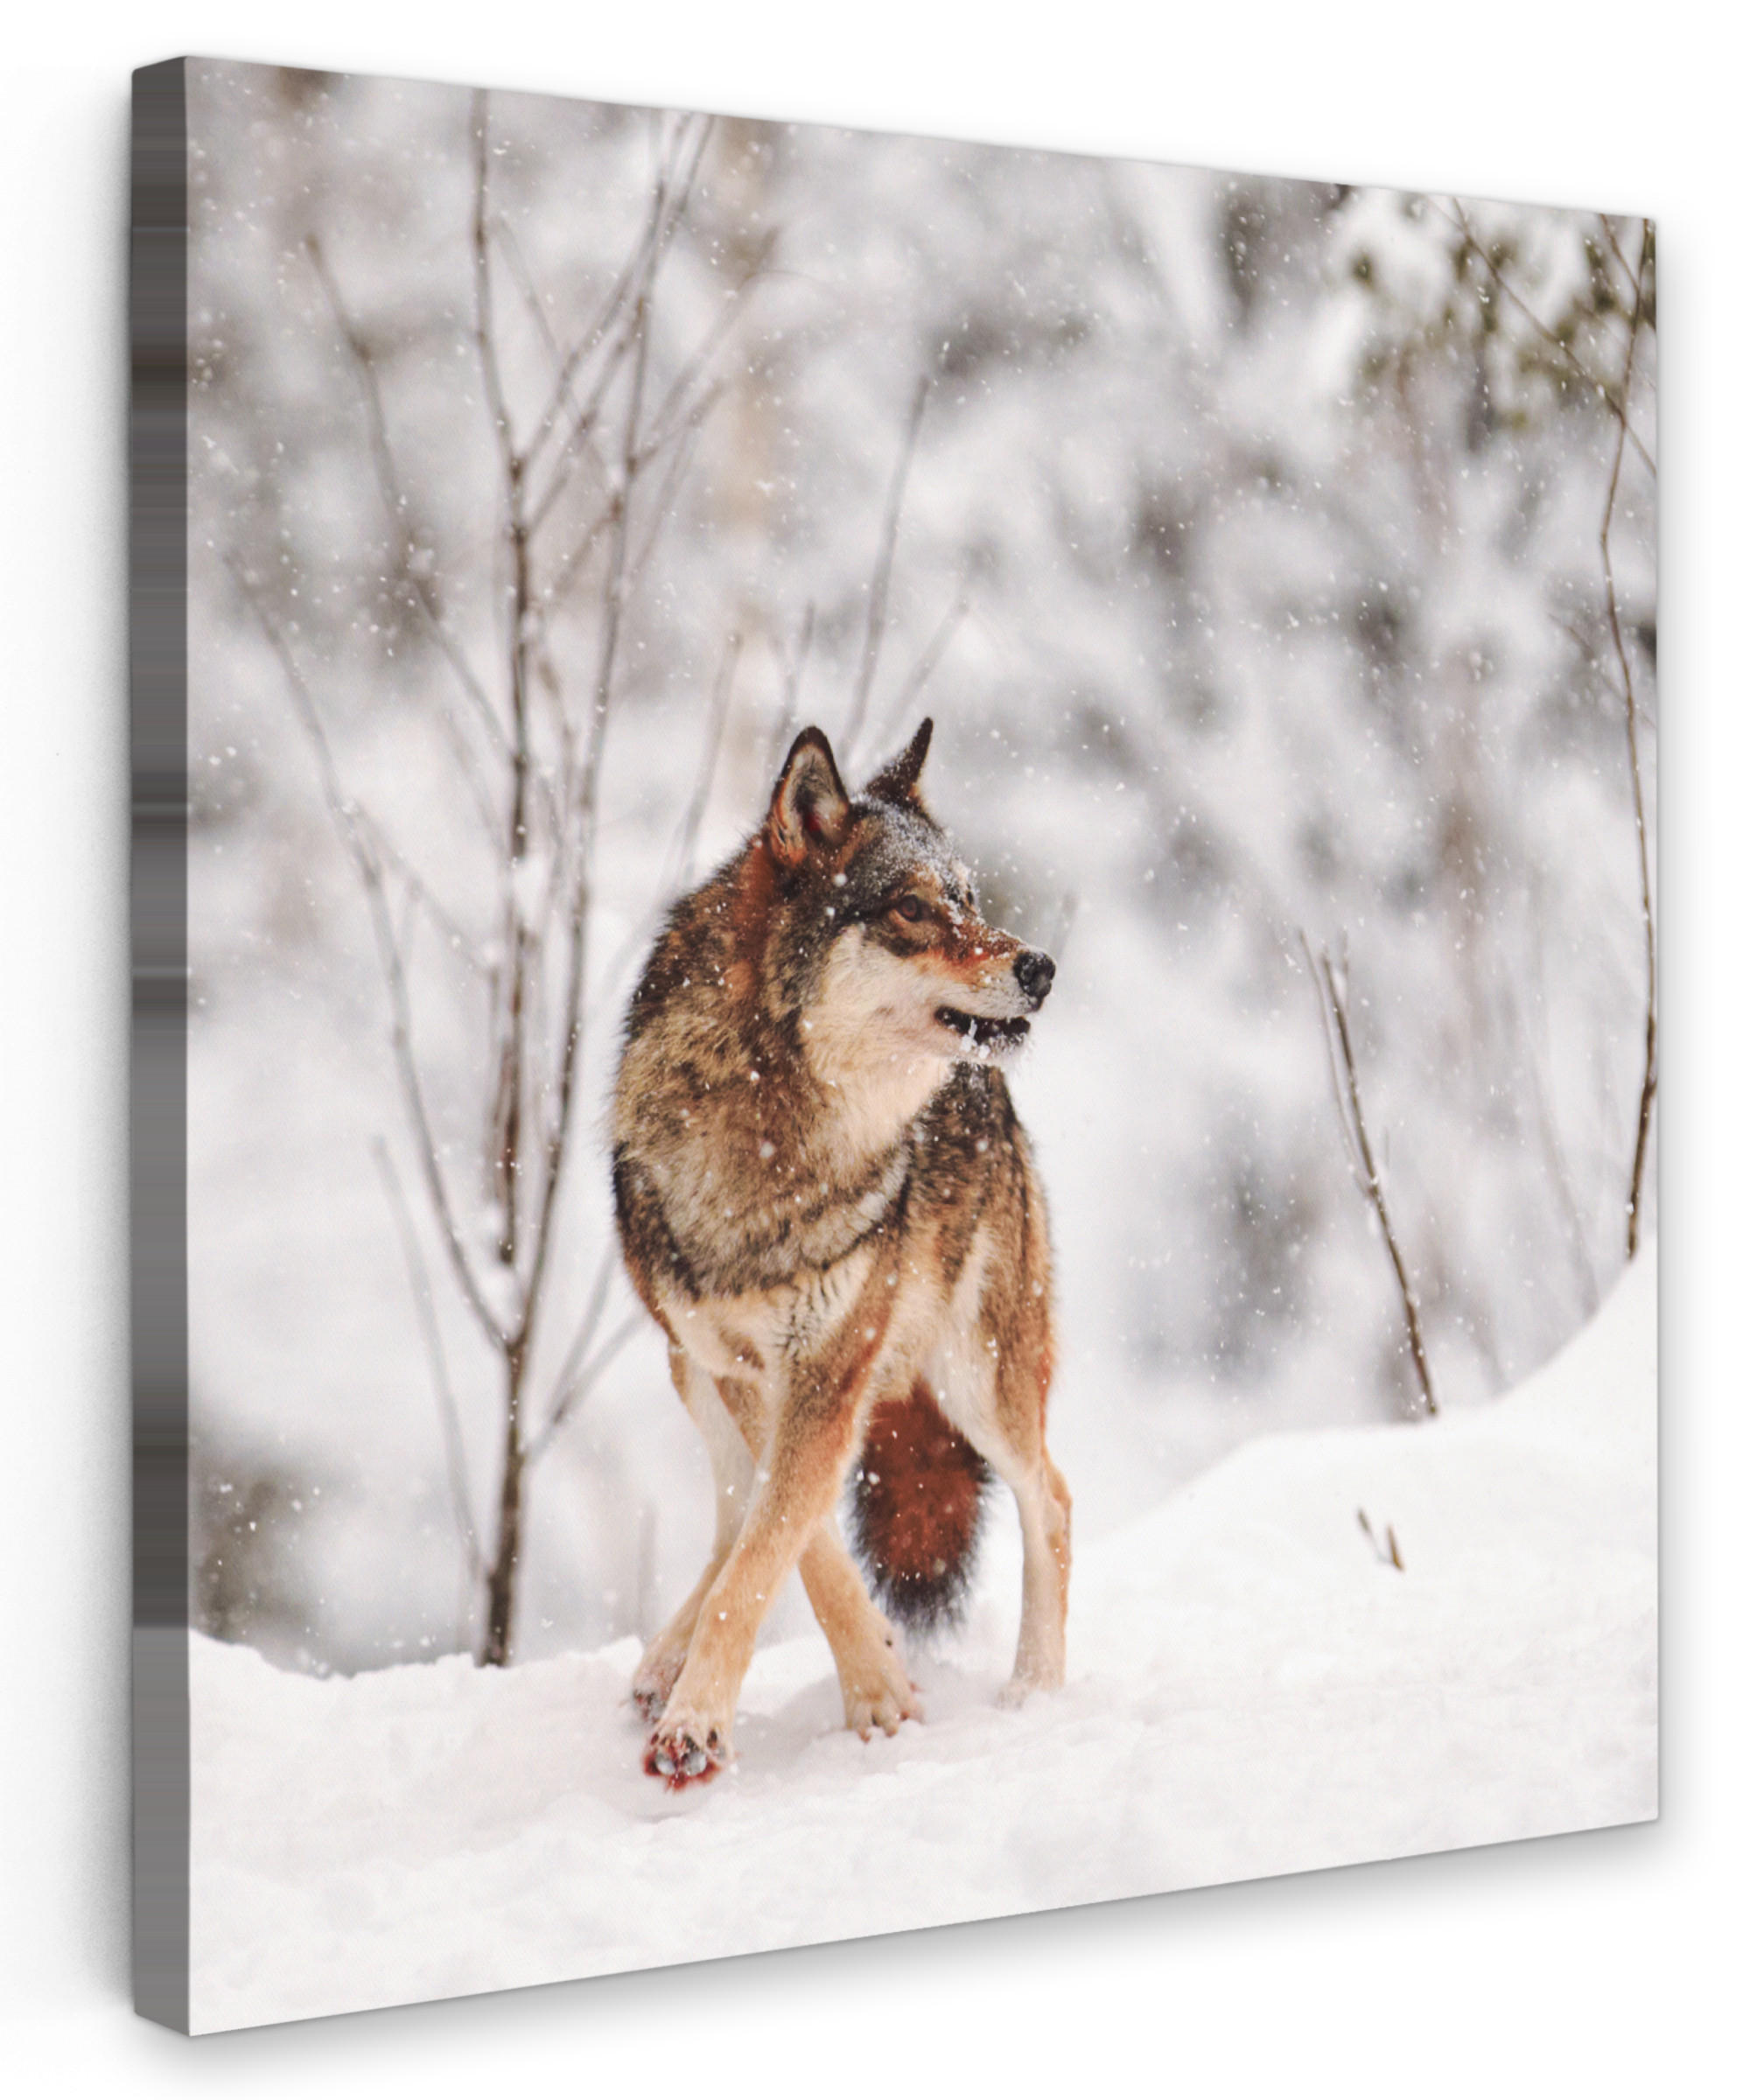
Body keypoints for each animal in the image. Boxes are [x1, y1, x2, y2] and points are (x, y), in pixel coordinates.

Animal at [612, 717, 1069, 1787]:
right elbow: (792, 1541)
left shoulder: (827, 1368)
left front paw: (704, 1725)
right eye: (911, 908)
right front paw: (875, 1686)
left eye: (970, 898)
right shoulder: (746, 1370)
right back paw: (660, 1663)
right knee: (734, 1510)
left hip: (978, 1378)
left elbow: (775, 1545)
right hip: (688, 1370)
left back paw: (1034, 1693)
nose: (1039, 965)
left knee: (1054, 1501)